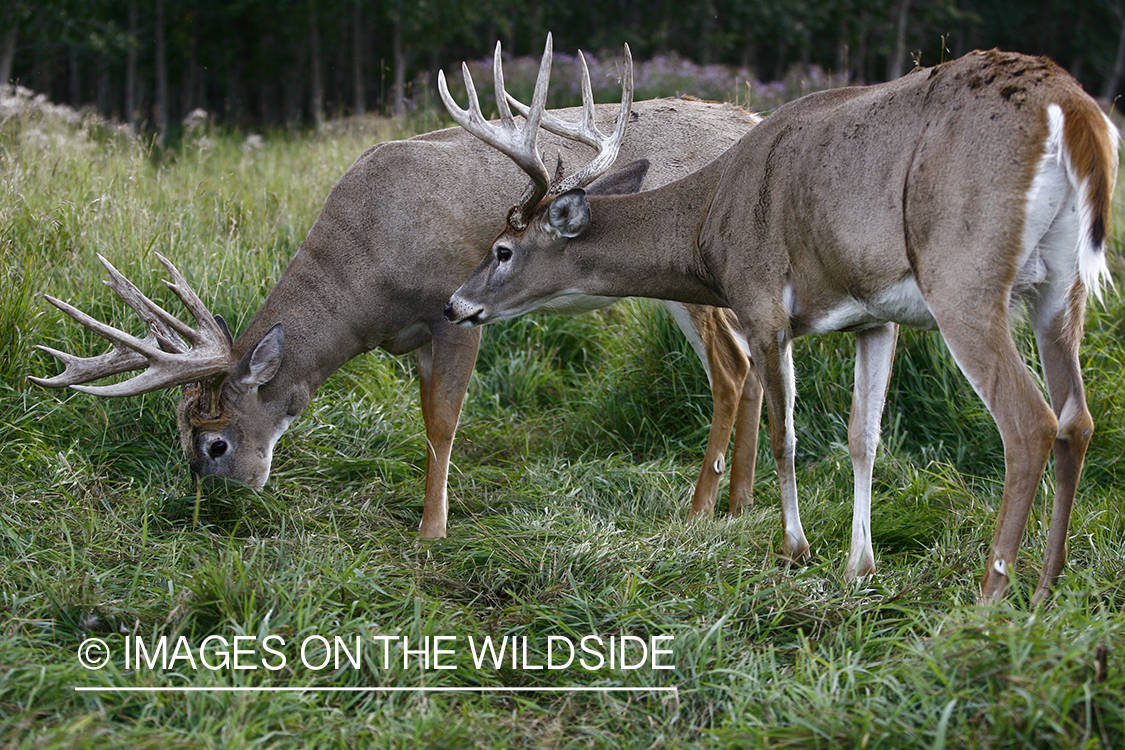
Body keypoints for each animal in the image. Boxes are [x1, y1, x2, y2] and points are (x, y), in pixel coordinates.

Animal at [30, 48, 765, 539]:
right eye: (181, 434)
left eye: (214, 443)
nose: (227, 500)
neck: (368, 272)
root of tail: (748, 119)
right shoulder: (408, 339)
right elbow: (423, 417)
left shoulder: (456, 312)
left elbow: (442, 423)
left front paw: (431, 530)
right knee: (755, 363)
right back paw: (737, 504)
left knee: (731, 367)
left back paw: (701, 509)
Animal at [443, 39, 1120, 602]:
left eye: (502, 250)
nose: (455, 305)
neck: (708, 226)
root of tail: (1071, 110)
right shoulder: (875, 317)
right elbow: (862, 436)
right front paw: (858, 565)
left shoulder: (762, 302)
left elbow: (785, 435)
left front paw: (795, 548)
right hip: (1062, 287)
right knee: (1078, 419)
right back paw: (1047, 587)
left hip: (964, 276)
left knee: (1030, 423)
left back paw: (991, 592)